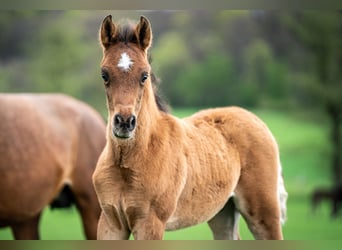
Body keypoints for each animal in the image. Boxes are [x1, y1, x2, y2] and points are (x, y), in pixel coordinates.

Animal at [92, 15, 288, 240]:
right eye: (104, 75)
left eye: (144, 75)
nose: (124, 123)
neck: (127, 162)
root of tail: (257, 120)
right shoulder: (111, 222)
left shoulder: (150, 223)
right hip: (223, 213)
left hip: (264, 214)